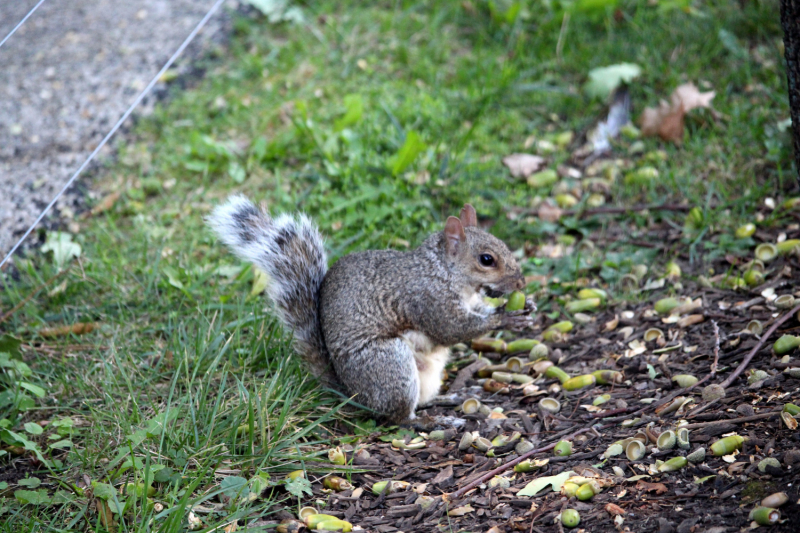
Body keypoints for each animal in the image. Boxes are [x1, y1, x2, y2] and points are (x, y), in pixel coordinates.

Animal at [206, 195, 536, 424]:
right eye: (486, 259)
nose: (521, 282)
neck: (443, 270)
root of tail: (352, 394)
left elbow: (478, 309)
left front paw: (524, 306)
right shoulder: (427, 298)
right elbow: (453, 328)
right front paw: (507, 317)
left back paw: (445, 401)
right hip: (389, 365)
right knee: (398, 417)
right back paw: (431, 422)